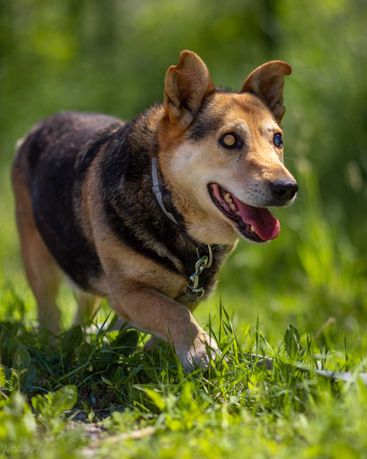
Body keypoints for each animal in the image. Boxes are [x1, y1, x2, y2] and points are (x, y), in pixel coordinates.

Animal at [12, 51, 300, 374]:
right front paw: (200, 350)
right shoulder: (127, 292)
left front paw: (158, 351)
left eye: (277, 140)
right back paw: (54, 348)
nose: (287, 188)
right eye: (229, 140)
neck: (169, 207)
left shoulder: (190, 293)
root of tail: (37, 128)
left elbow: (172, 316)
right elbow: (173, 313)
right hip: (39, 261)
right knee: (48, 310)